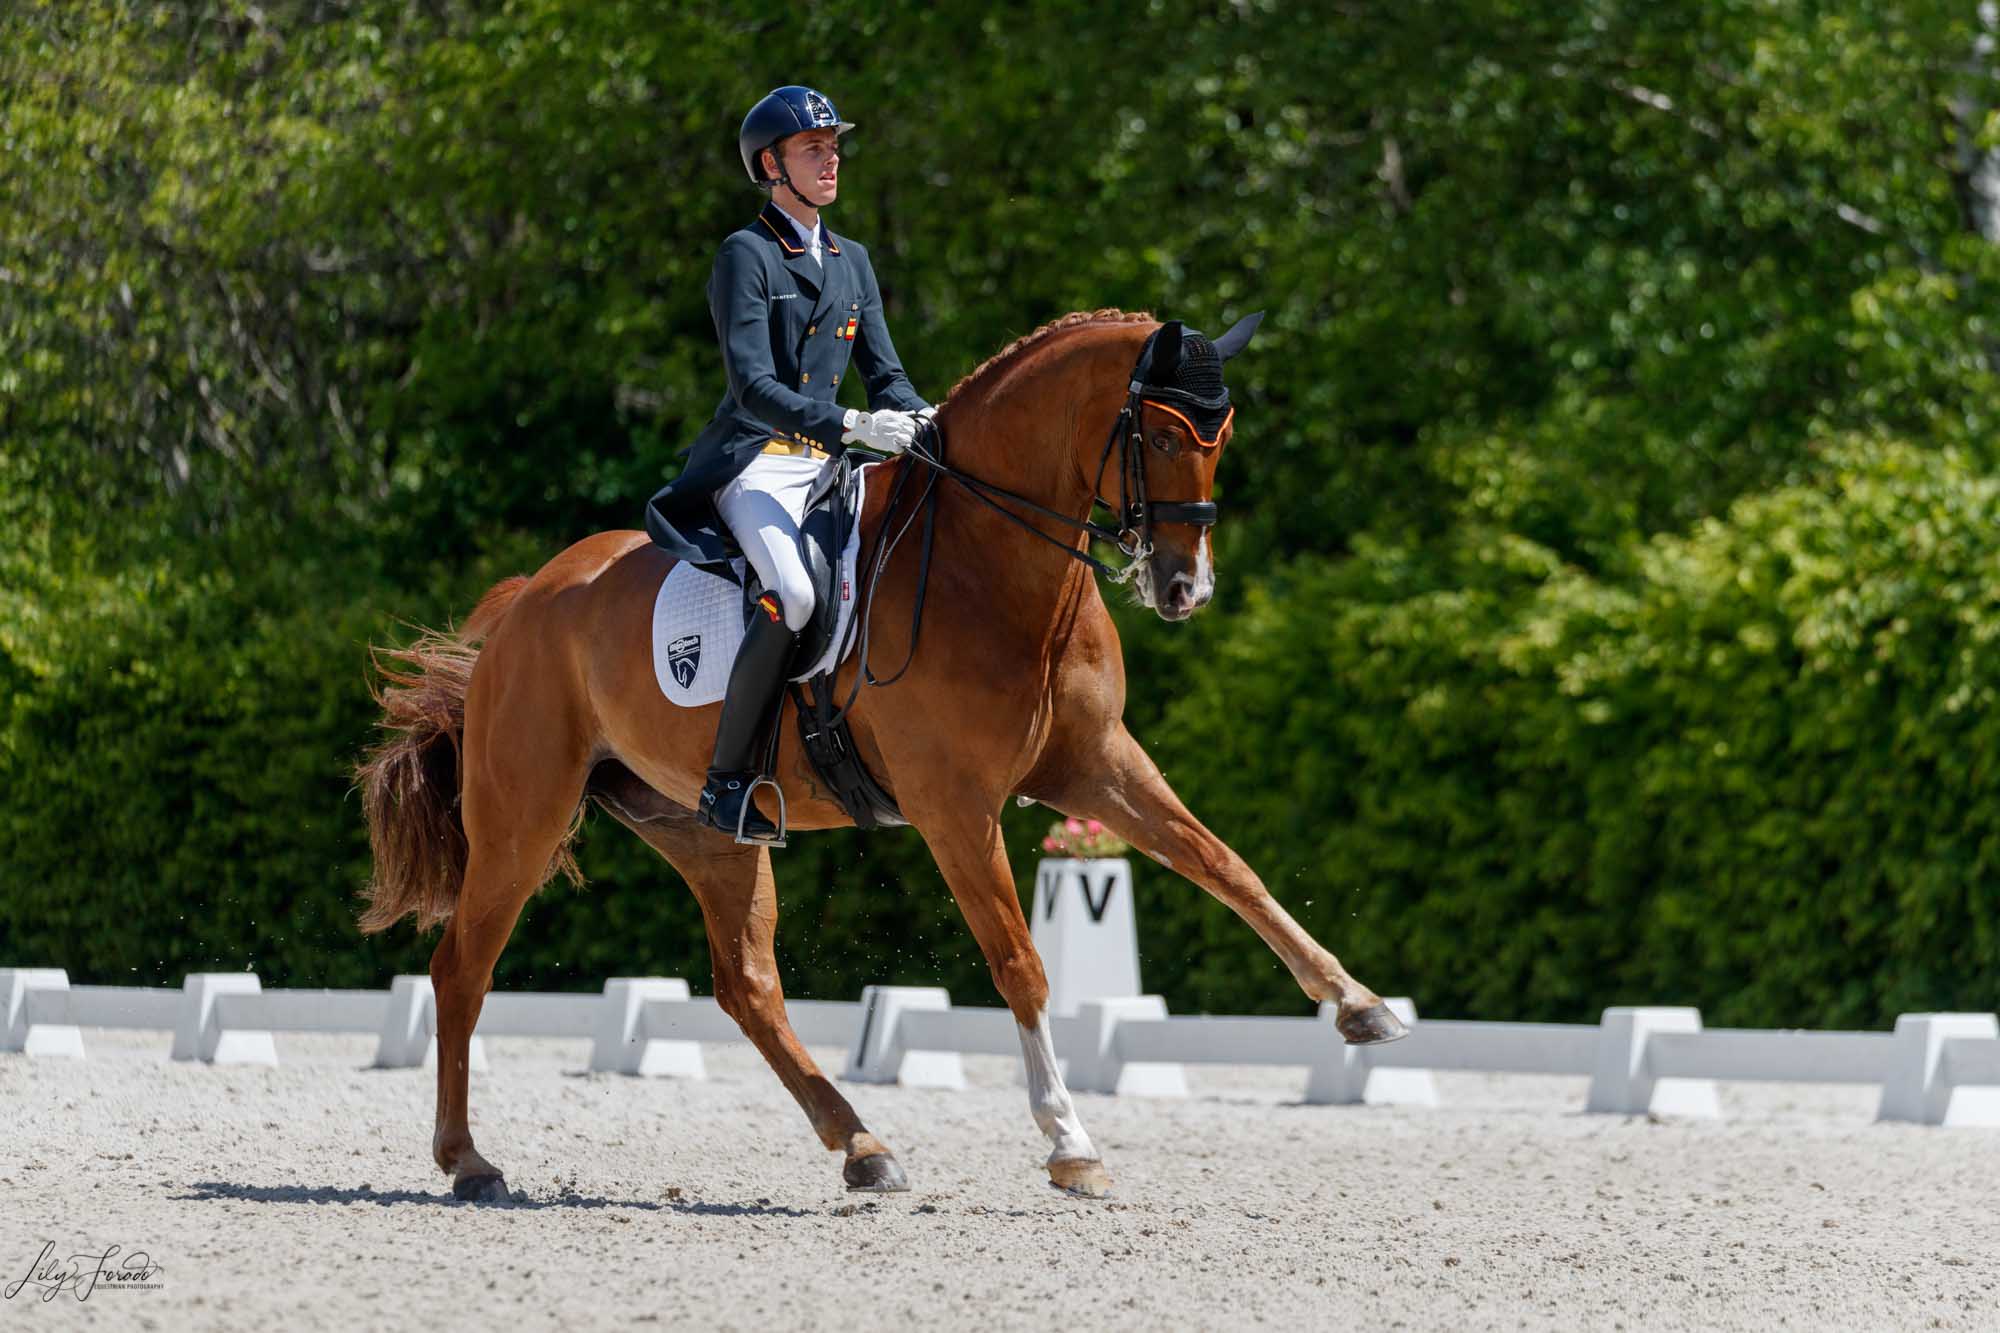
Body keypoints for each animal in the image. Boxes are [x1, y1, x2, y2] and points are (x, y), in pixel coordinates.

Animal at [364, 306, 1408, 1200]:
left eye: (1219, 437)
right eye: (1154, 437)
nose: (1186, 588)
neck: (995, 570)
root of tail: (528, 597)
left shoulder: (1096, 764)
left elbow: (1225, 865)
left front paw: (1360, 1005)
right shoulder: (954, 805)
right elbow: (1019, 961)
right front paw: (1070, 1142)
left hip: (708, 831)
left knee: (747, 986)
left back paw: (864, 1146)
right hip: (524, 820)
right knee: (461, 969)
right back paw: (468, 1161)